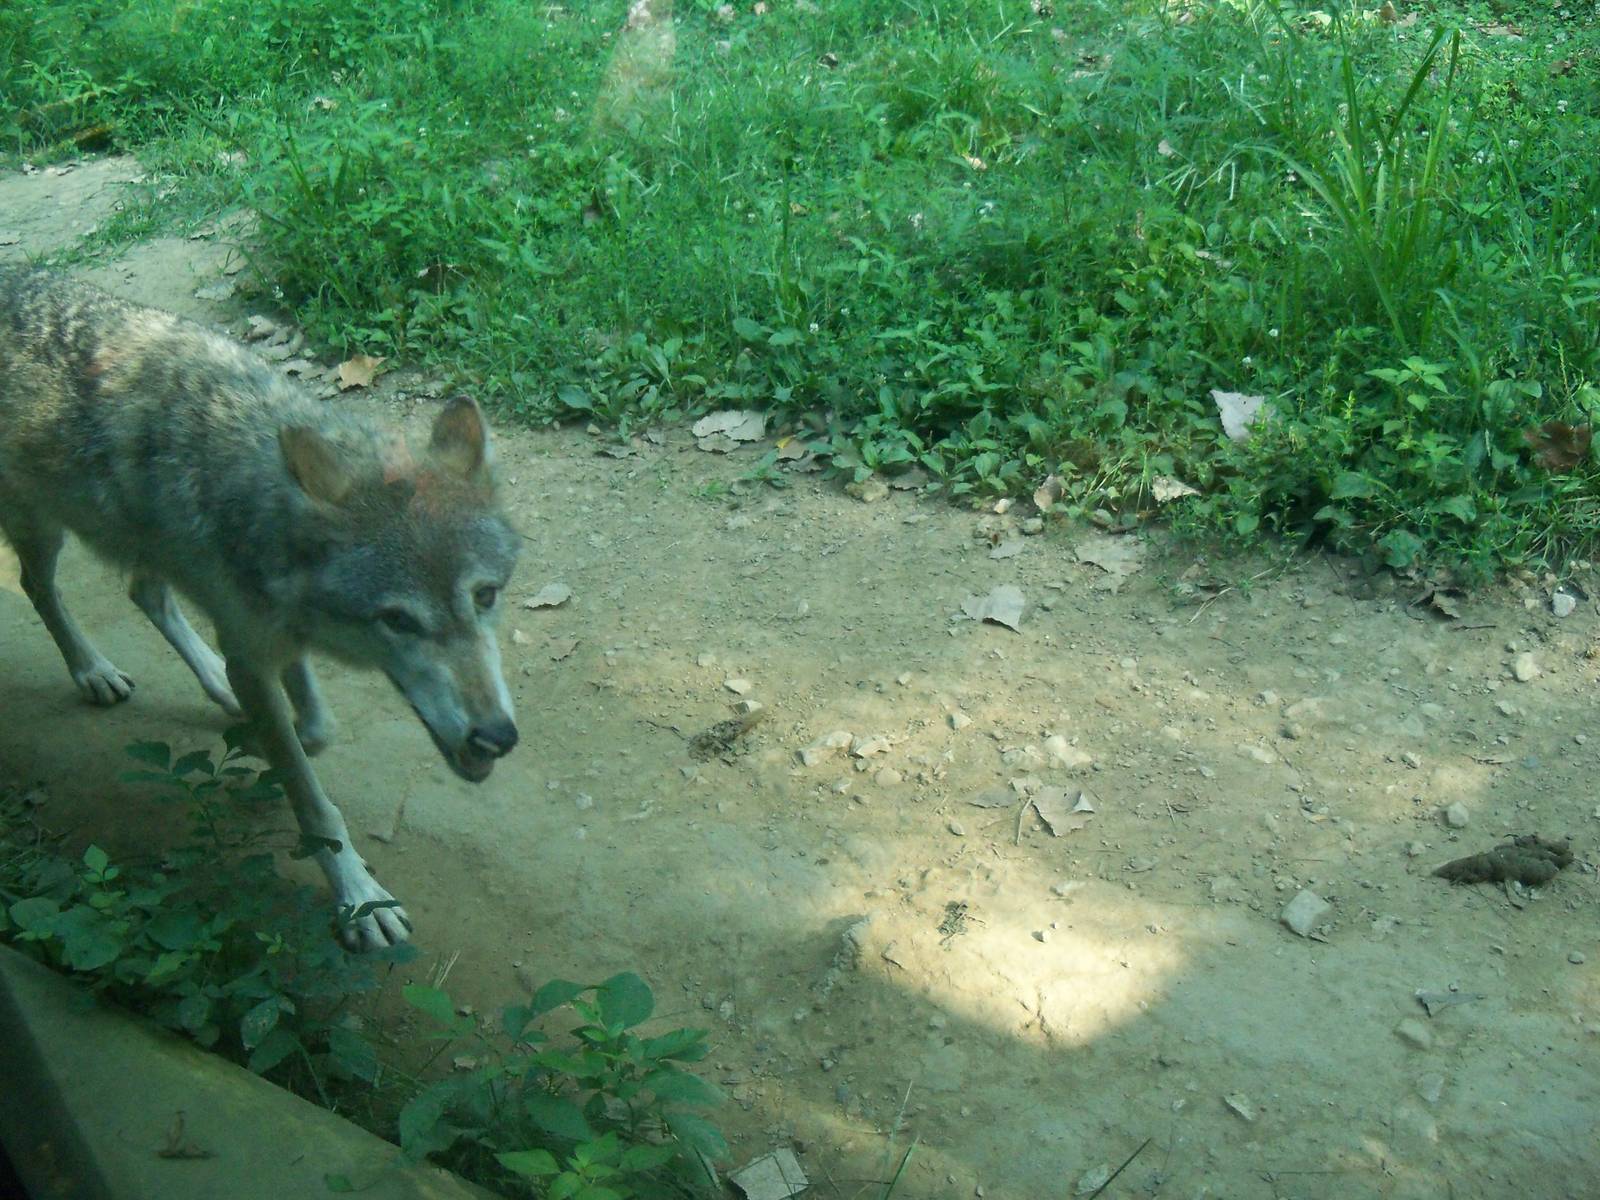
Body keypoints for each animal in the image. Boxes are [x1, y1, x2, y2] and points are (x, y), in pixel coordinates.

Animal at [0, 267, 521, 950]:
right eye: (398, 620)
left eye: (485, 596)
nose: (497, 737)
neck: (262, 510)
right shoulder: (252, 647)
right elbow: (314, 802)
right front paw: (360, 898)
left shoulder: (270, 637)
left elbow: (317, 727)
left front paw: (270, 736)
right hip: (42, 528)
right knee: (40, 589)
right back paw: (93, 671)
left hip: (146, 549)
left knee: (145, 594)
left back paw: (210, 684)